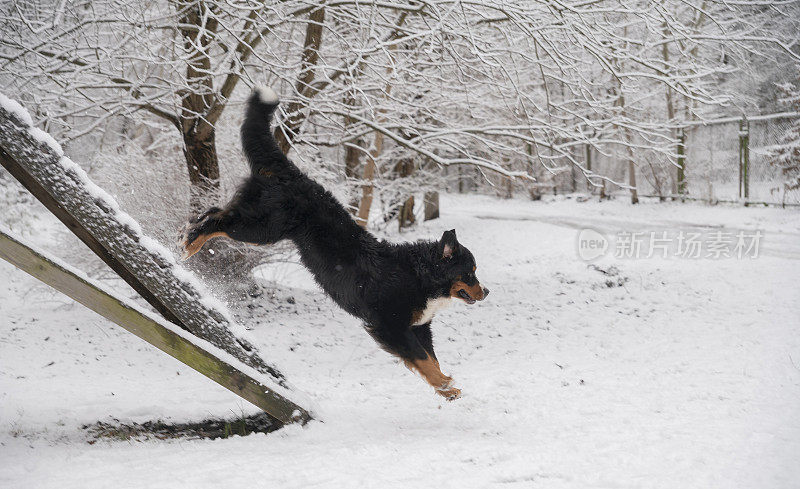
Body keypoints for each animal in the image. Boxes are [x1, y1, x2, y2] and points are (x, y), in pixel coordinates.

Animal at [180, 87, 488, 398]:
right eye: (470, 272)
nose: (486, 291)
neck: (419, 275)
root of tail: (292, 173)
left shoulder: (420, 326)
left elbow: (430, 359)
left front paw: (446, 388)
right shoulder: (390, 325)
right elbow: (422, 358)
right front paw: (446, 385)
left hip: (257, 224)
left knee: (214, 210)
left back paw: (187, 233)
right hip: (263, 229)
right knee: (218, 221)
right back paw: (191, 242)